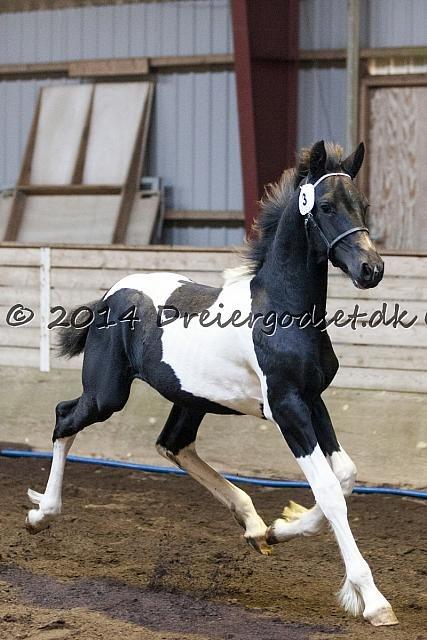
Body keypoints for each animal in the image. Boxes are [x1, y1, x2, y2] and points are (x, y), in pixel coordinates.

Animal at [25, 140, 398, 627]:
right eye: (328, 206)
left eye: (363, 205)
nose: (371, 269)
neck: (281, 310)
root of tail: (112, 294)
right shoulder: (287, 406)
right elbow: (332, 492)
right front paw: (371, 599)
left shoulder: (312, 399)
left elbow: (346, 475)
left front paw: (281, 528)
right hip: (107, 394)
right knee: (64, 417)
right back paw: (41, 515)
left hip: (190, 397)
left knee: (173, 444)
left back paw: (255, 527)